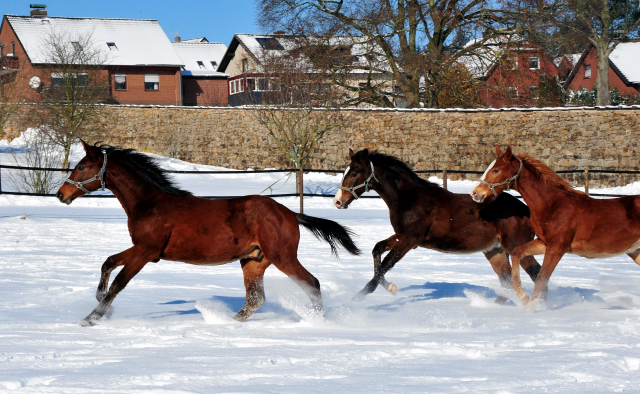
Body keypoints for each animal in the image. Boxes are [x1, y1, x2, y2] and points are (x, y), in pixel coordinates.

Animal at [56, 142, 360, 326]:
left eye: (81, 166)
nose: (61, 194)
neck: (150, 203)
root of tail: (289, 213)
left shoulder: (146, 251)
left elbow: (119, 283)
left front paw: (92, 317)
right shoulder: (143, 249)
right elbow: (108, 262)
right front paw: (99, 301)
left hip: (282, 256)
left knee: (312, 283)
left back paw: (318, 323)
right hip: (253, 261)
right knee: (255, 299)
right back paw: (227, 323)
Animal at [336, 149, 540, 302]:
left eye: (353, 173)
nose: (338, 201)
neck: (410, 199)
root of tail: (526, 209)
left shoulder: (410, 240)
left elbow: (386, 263)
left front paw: (357, 298)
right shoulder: (402, 236)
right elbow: (377, 250)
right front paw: (391, 288)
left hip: (514, 247)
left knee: (535, 273)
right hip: (495, 251)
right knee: (507, 280)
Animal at [470, 146, 640, 312]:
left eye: (495, 170)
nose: (475, 193)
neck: (553, 205)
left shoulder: (557, 248)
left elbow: (542, 277)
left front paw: (528, 311)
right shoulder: (544, 243)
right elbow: (517, 253)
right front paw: (523, 295)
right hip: (635, 251)